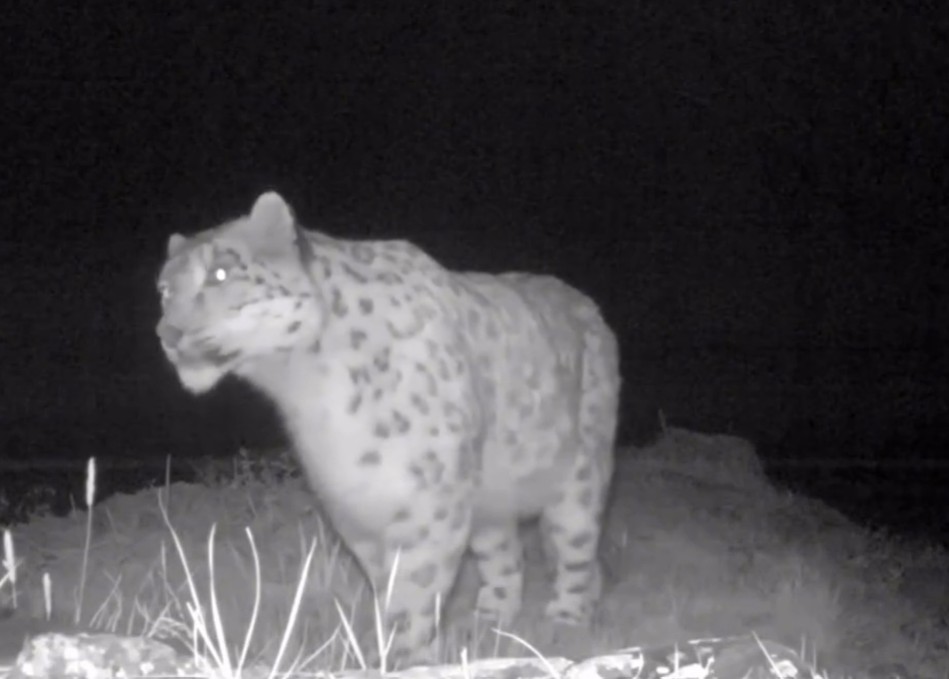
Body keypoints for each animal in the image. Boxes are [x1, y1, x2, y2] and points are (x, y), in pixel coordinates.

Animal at [155, 192, 621, 666]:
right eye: (165, 290)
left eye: (220, 272)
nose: (167, 333)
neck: (308, 388)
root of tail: (589, 308)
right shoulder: (351, 501)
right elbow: (387, 583)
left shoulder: (429, 499)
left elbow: (415, 587)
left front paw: (406, 655)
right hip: (488, 499)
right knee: (505, 553)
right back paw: (489, 620)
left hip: (580, 477)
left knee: (576, 549)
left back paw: (565, 621)